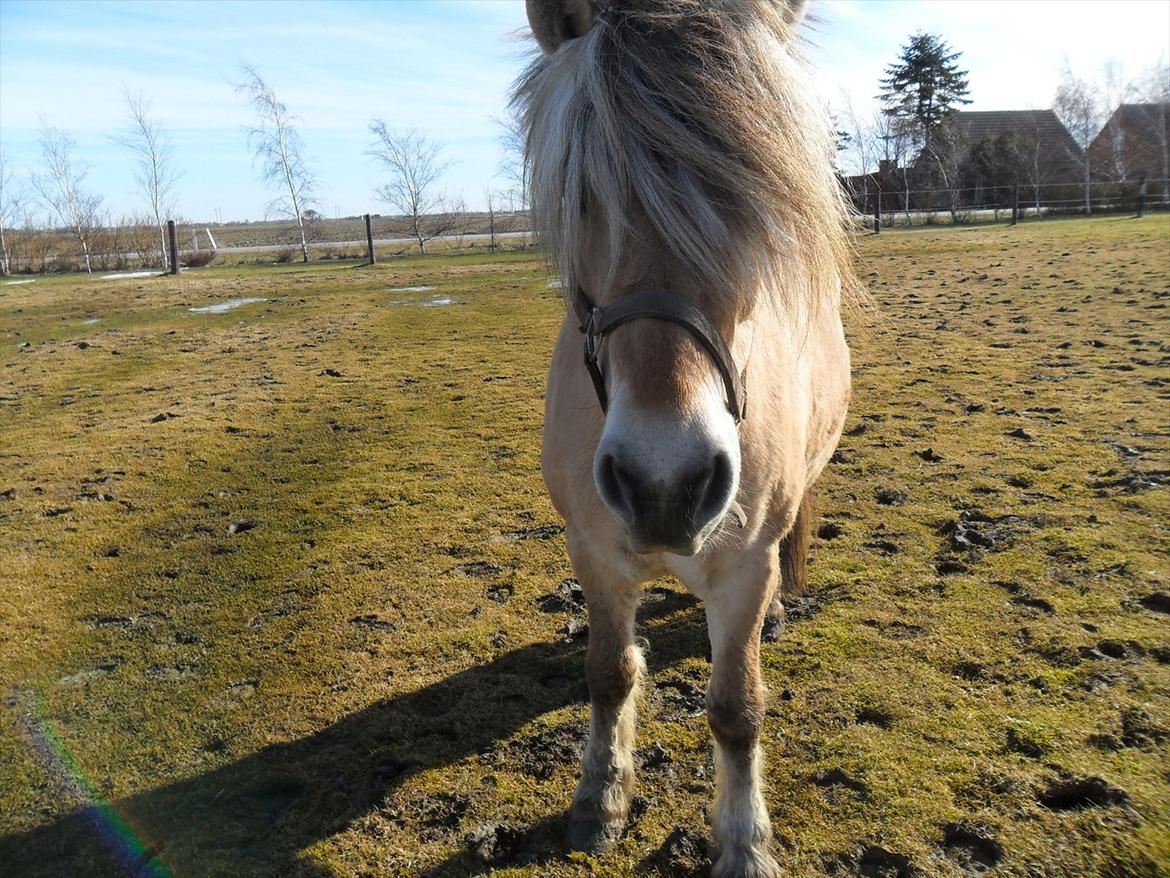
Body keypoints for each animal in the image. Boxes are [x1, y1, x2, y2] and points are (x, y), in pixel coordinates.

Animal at [512, 3, 861, 875]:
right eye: (583, 197)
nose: (664, 483)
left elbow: (737, 708)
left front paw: (744, 843)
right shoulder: (593, 551)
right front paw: (600, 801)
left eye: (754, 192)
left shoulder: (744, 569)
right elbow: (608, 674)